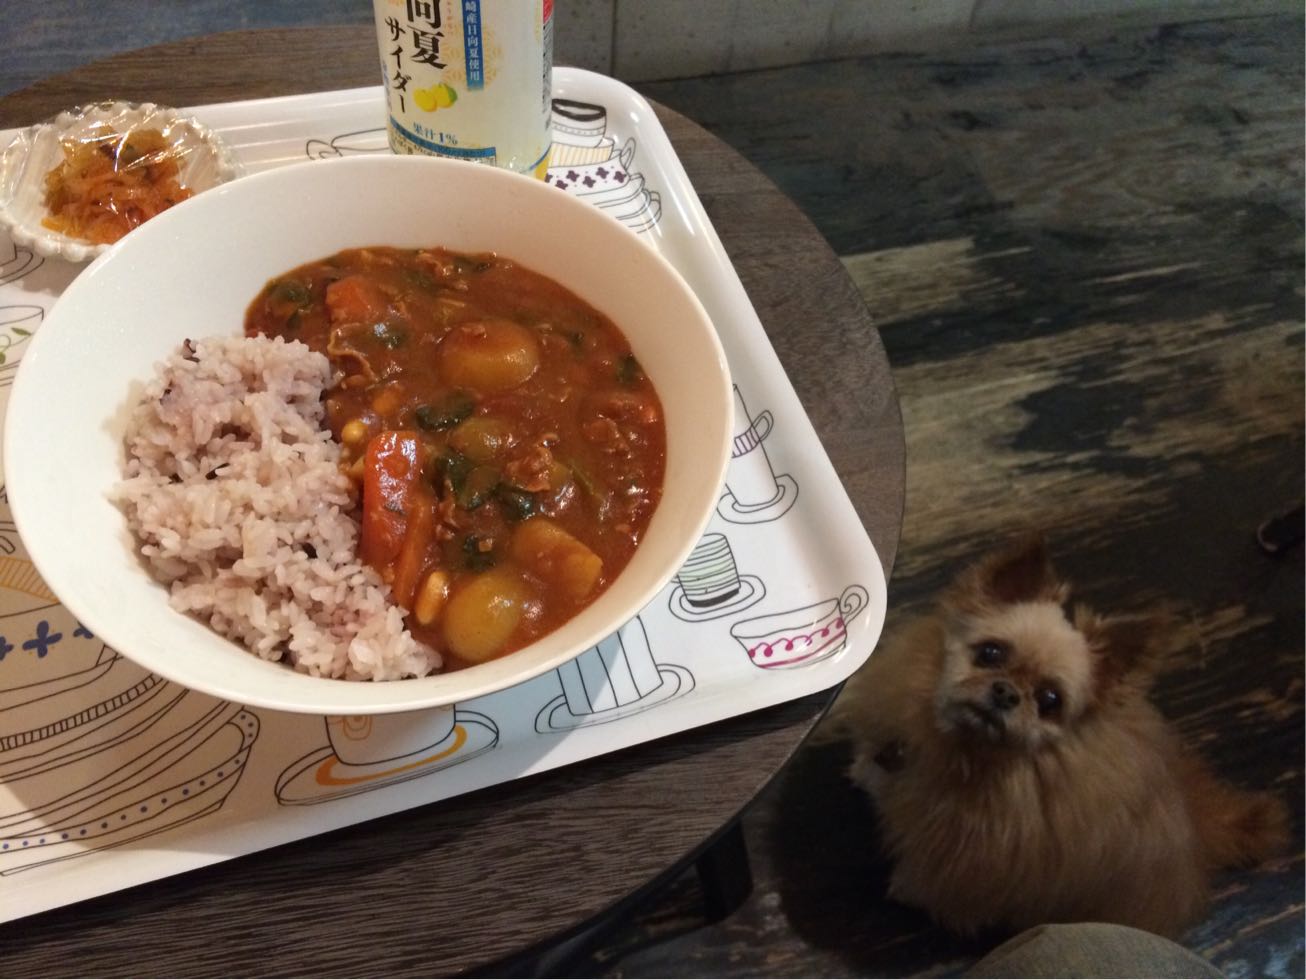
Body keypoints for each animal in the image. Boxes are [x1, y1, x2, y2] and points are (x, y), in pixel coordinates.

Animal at [829, 534, 1289, 938]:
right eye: (990, 653)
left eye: (1050, 699)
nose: (1006, 692)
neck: (968, 751)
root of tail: (1197, 825)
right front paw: (864, 772)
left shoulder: (959, 860)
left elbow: (928, 878)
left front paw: (904, 888)